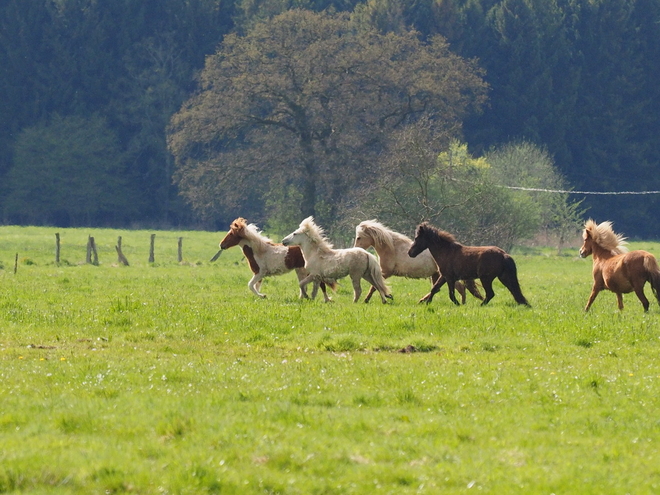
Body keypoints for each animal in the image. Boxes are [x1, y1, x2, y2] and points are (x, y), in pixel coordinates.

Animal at [356, 222, 484, 306]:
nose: (355, 249)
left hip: (445, 276)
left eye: (359, 237)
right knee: (438, 288)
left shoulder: (386, 272)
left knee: (459, 288)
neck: (392, 248)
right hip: (437, 275)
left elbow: (375, 286)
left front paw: (367, 300)